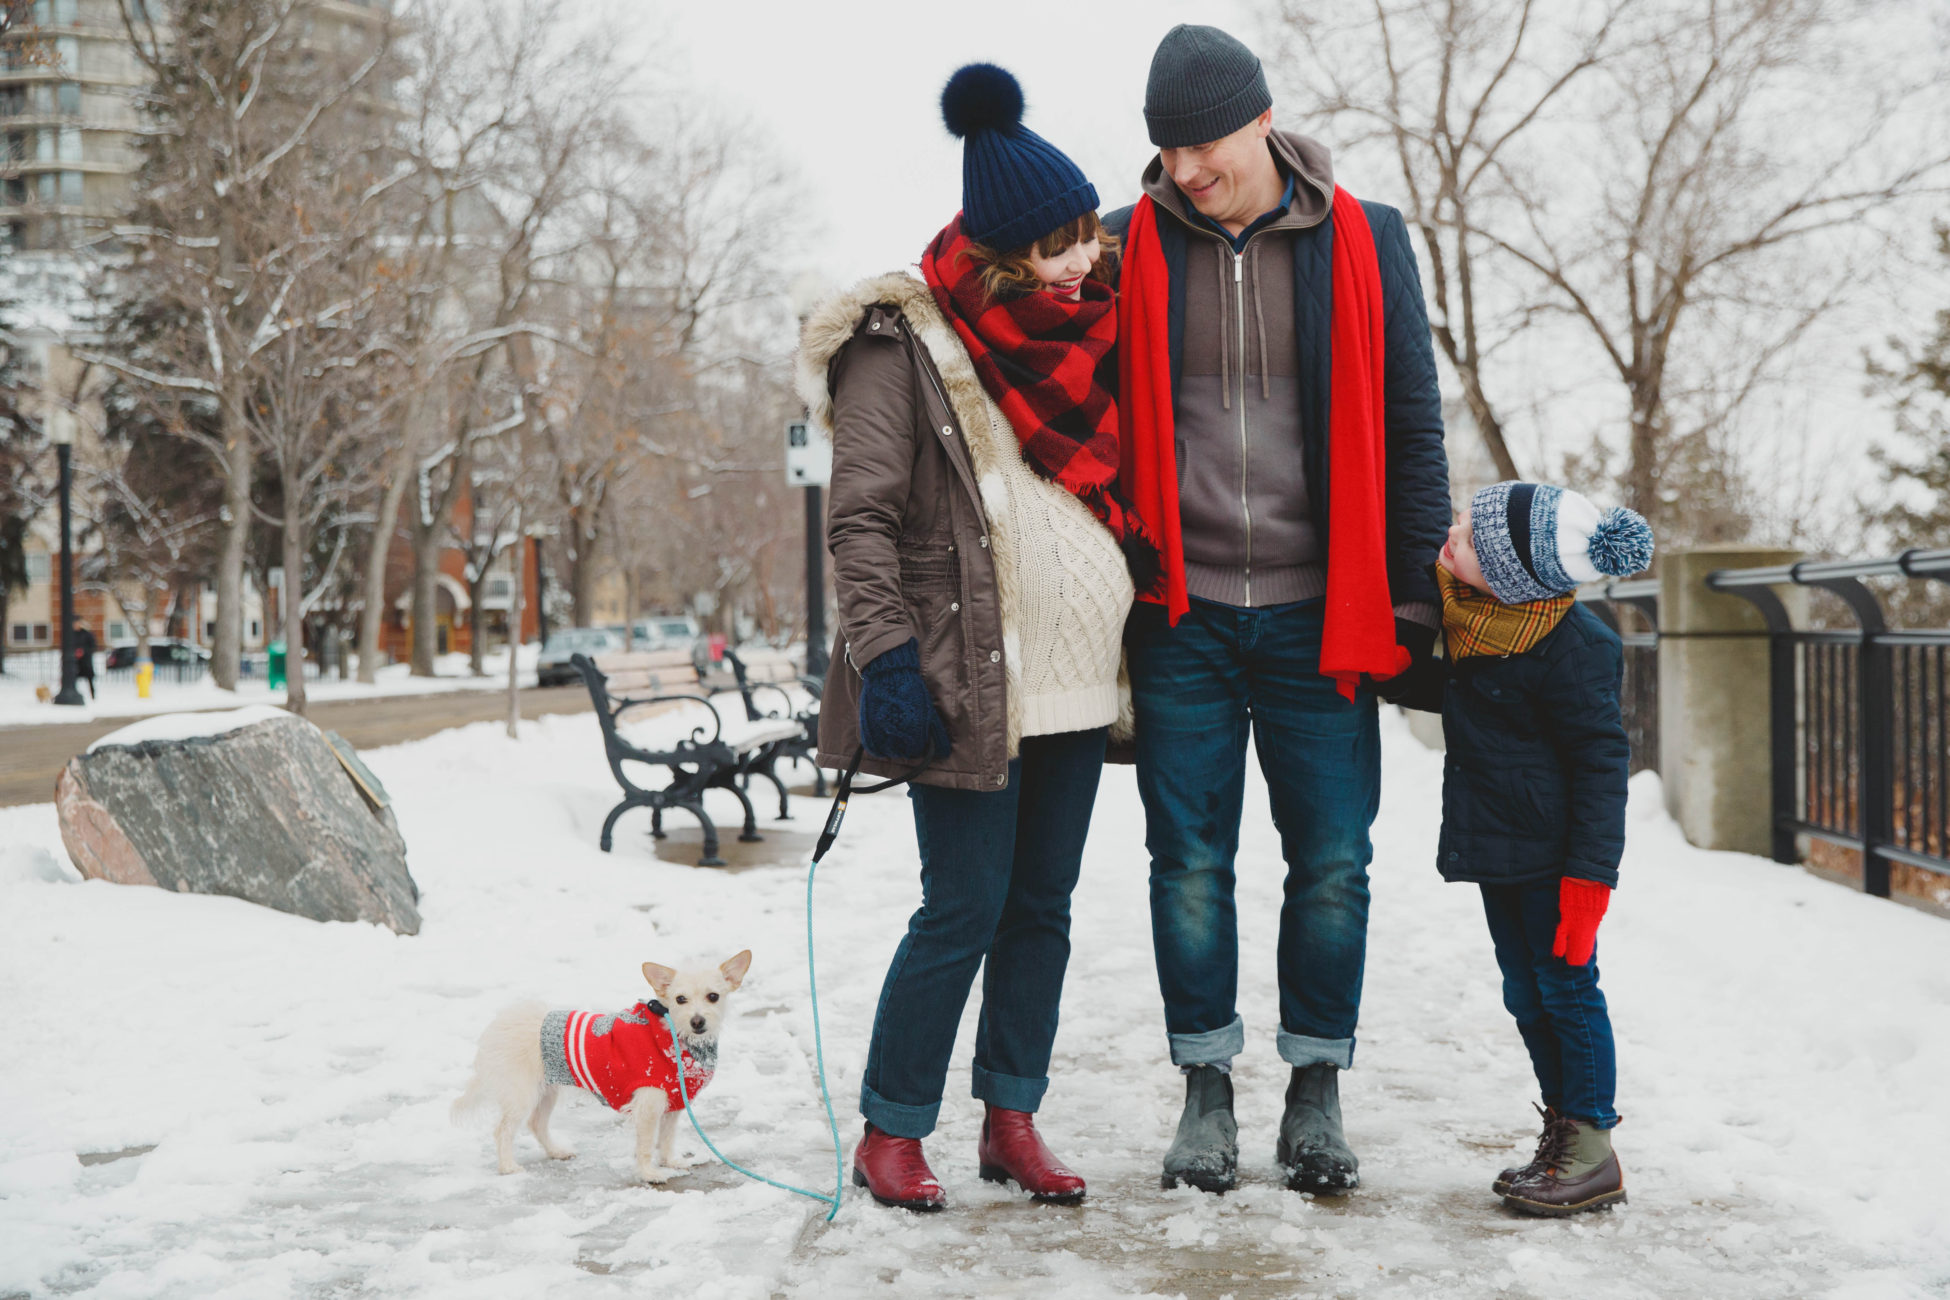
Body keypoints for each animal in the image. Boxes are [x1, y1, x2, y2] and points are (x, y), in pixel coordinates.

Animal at [456, 951, 752, 1185]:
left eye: (713, 996)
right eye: (680, 999)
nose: (697, 1021)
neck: (675, 1036)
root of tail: (498, 1025)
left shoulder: (673, 1104)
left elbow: (667, 1138)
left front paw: (670, 1161)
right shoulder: (648, 1106)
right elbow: (646, 1144)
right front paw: (648, 1173)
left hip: (547, 1090)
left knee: (536, 1123)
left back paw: (556, 1151)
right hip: (522, 1094)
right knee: (503, 1130)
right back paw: (508, 1167)